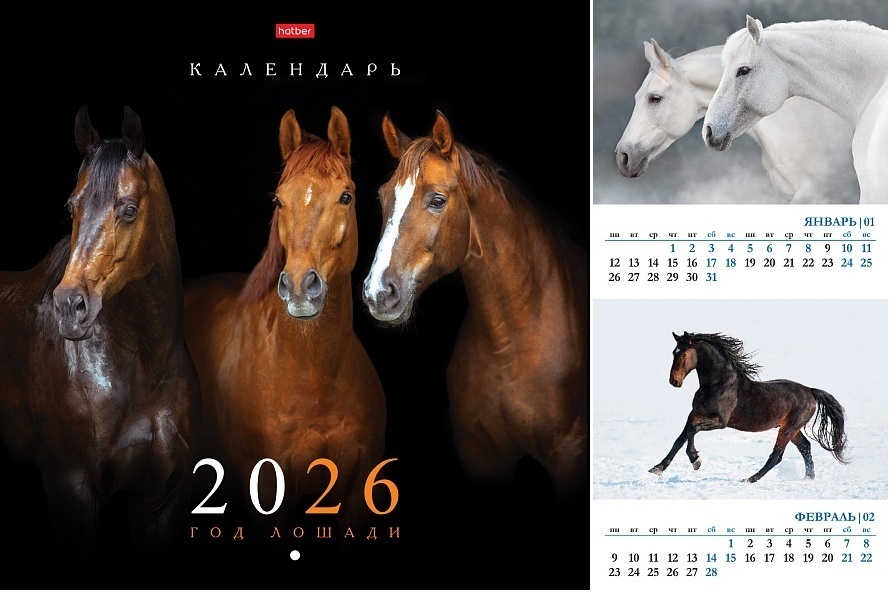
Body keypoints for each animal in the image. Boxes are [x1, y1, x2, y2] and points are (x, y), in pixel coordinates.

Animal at [0, 105, 203, 556]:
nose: (69, 307)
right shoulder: (70, 487)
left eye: (128, 209)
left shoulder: (161, 501)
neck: (143, 369)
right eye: (71, 205)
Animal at [183, 106, 387, 534]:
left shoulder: (358, 494)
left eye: (346, 196)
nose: (298, 286)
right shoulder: (266, 493)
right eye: (279, 200)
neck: (315, 378)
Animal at [362, 111, 589, 504]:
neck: (510, 342)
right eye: (382, 197)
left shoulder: (571, 455)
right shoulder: (480, 455)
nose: (378, 293)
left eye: (438, 199)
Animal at [649, 332, 849, 483]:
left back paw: (750, 479)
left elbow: (692, 431)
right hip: (791, 429)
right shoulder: (696, 413)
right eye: (673, 352)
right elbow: (680, 438)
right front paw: (658, 468)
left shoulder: (720, 421)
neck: (718, 384)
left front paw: (695, 460)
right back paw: (808, 478)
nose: (674, 381)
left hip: (789, 429)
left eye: (683, 354)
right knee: (805, 447)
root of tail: (810, 391)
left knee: (776, 456)